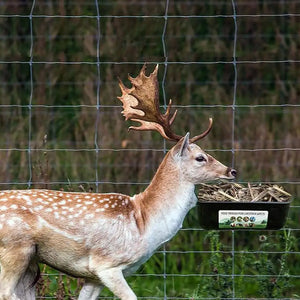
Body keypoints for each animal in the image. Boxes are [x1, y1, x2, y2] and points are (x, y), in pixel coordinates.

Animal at [0, 65, 236, 300]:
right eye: (200, 157)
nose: (231, 170)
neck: (144, 223)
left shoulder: (93, 277)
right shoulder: (106, 264)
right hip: (15, 249)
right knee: (7, 292)